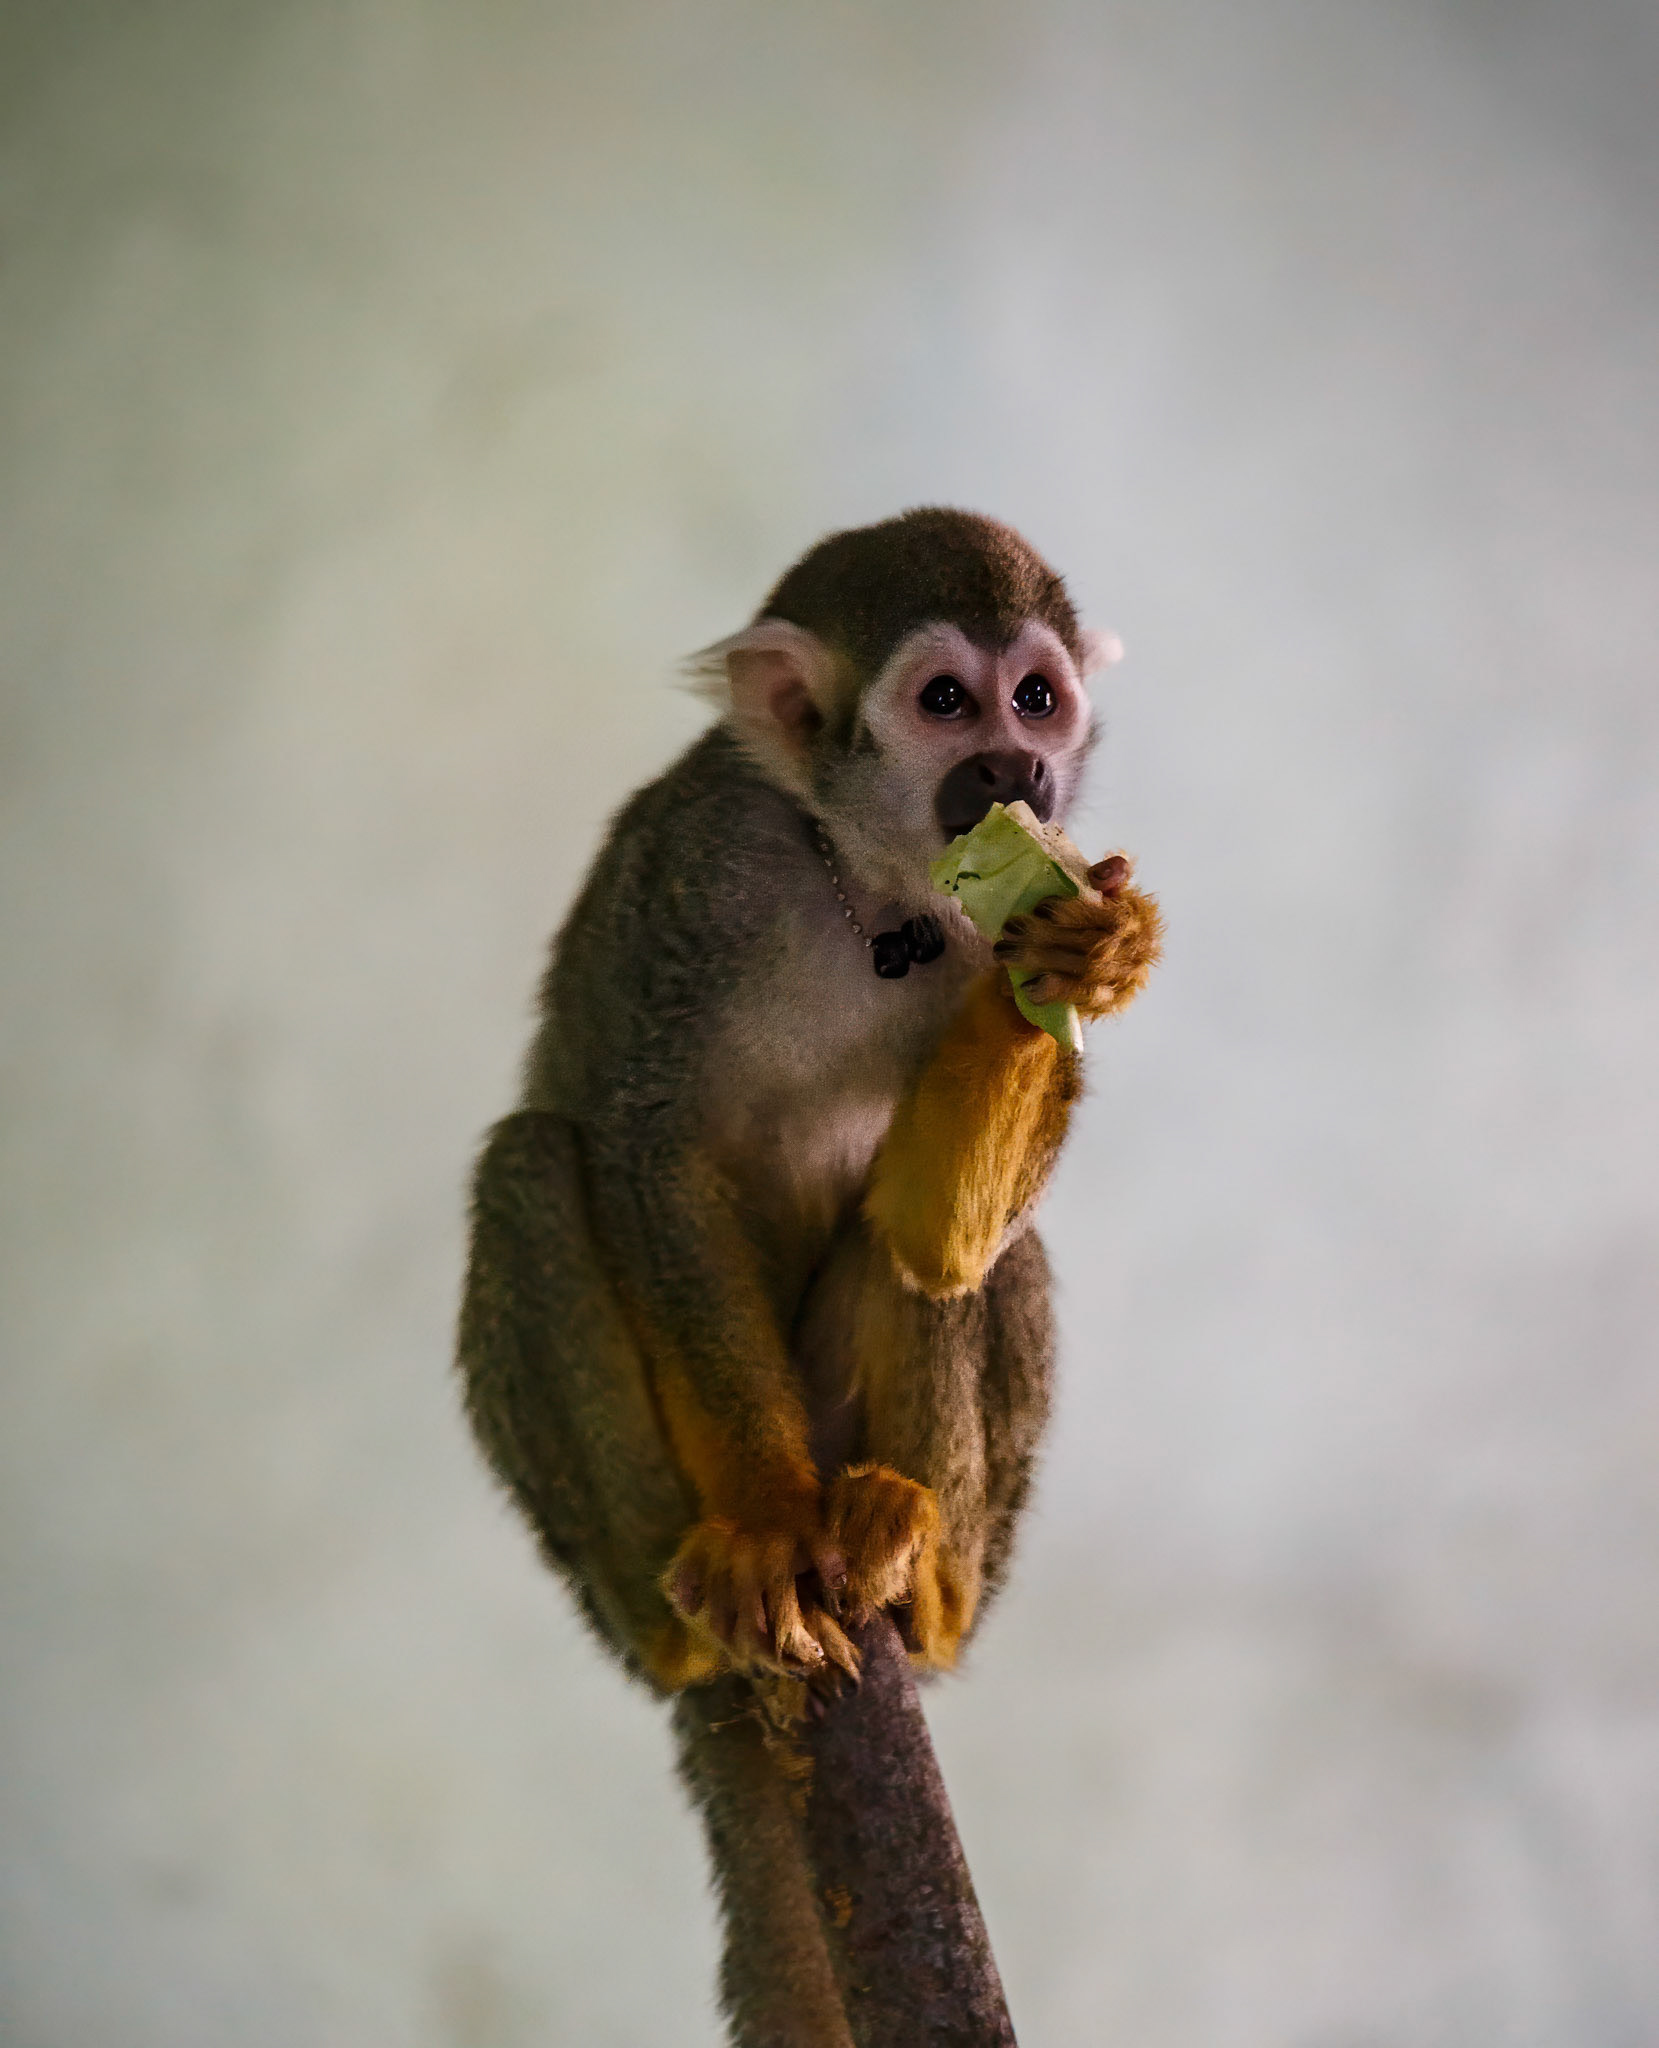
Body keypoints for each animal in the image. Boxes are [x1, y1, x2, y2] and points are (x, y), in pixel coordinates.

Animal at [456, 506, 1162, 2046]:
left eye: (1037, 697)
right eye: (946, 700)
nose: (1014, 771)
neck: (868, 891)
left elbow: (932, 1235)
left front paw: (1080, 949)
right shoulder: (699, 874)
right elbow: (655, 1155)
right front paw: (770, 1524)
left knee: (978, 1260)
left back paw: (915, 1566)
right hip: (604, 1558)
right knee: (535, 1165)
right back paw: (694, 1609)